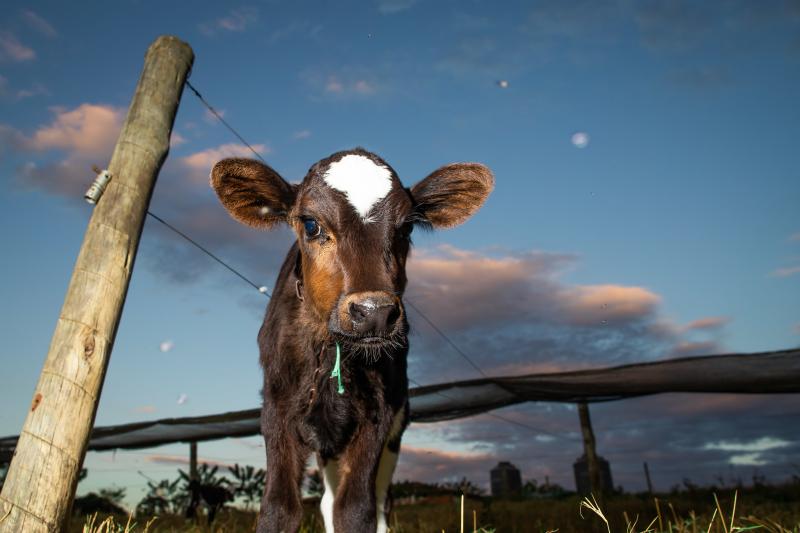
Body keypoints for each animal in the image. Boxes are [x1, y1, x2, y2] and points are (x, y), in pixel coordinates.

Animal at [209, 147, 490, 532]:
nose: (374, 312)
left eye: (406, 227)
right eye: (310, 224)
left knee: (375, 504)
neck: (332, 353)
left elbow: (356, 508)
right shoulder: (276, 409)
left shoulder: (379, 415)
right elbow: (279, 507)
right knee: (327, 502)